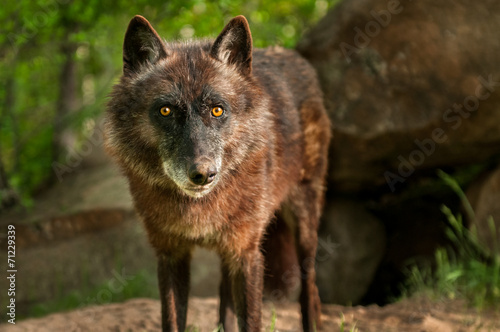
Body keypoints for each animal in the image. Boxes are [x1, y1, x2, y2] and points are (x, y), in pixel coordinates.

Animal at [104, 14, 332, 330]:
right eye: (165, 111)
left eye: (217, 110)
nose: (202, 174)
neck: (199, 208)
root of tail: (292, 54)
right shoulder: (171, 254)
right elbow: (172, 320)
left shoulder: (246, 254)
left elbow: (252, 321)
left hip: (304, 222)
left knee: (309, 289)